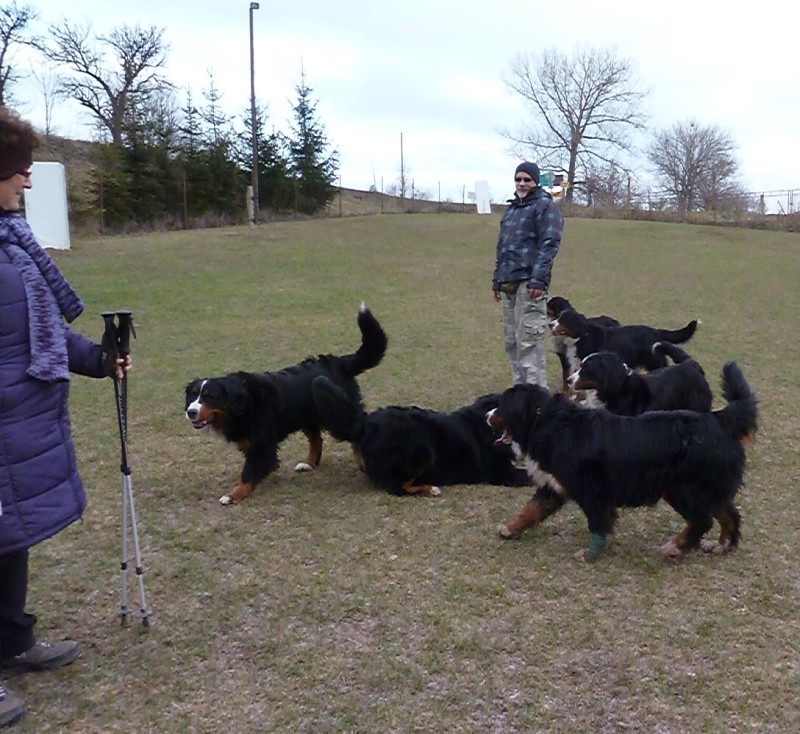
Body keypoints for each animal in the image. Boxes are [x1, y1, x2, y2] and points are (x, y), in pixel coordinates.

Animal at [186, 304, 390, 506]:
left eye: (209, 397)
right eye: (193, 396)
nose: (190, 412)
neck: (240, 403)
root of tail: (337, 362)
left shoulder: (261, 443)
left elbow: (249, 472)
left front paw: (233, 495)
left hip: (337, 410)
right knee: (317, 440)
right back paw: (308, 464)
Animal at [488, 362, 756, 564]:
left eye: (501, 405)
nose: (487, 415)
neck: (548, 422)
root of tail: (719, 420)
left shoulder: (591, 491)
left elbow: (597, 524)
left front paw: (589, 554)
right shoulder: (553, 486)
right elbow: (531, 510)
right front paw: (510, 528)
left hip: (681, 488)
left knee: (702, 520)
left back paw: (675, 546)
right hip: (709, 487)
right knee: (729, 515)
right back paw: (721, 545)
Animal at [552, 308, 696, 374]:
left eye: (563, 319)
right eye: (558, 317)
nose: (550, 324)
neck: (582, 335)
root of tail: (655, 331)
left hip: (654, 361)